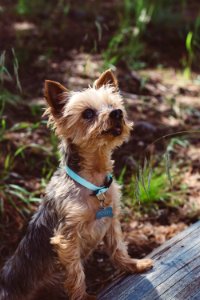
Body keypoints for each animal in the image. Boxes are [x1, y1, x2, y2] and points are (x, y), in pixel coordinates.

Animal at [0, 70, 152, 300]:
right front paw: (83, 296)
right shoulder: (67, 238)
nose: (117, 113)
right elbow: (75, 272)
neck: (94, 182)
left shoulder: (111, 219)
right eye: (88, 113)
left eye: (113, 105)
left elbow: (118, 247)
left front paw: (133, 265)